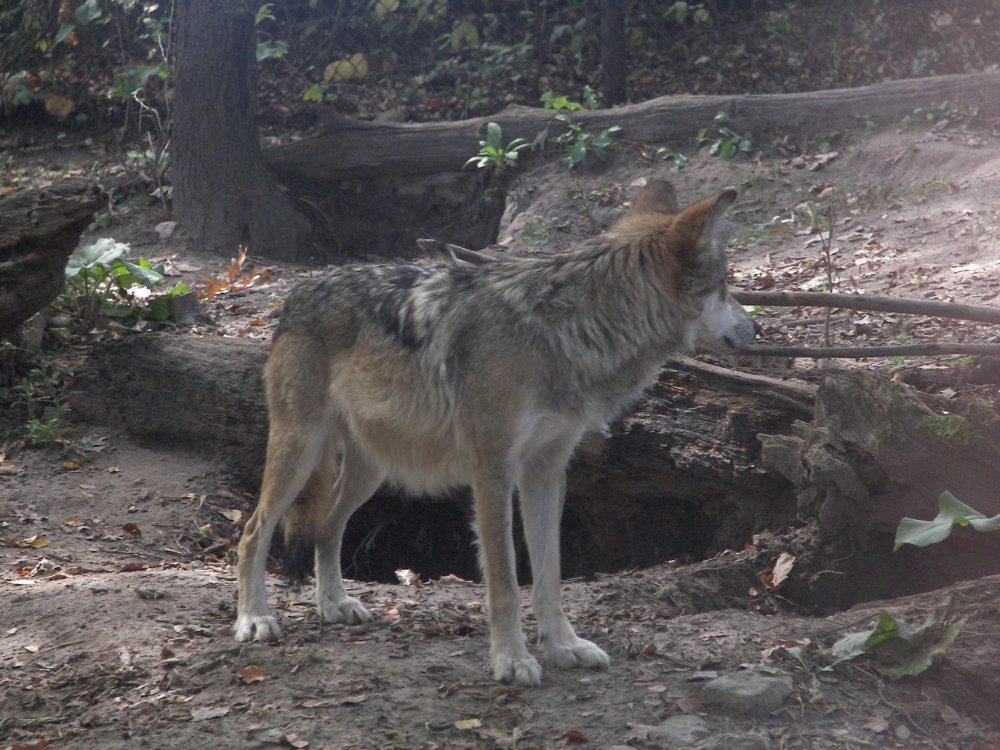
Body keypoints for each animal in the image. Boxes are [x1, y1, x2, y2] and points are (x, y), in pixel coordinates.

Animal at [236, 181, 756, 688]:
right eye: (724, 287)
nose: (754, 328)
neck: (567, 330)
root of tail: (301, 289)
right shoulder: (493, 471)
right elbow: (505, 581)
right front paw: (512, 660)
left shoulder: (546, 472)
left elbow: (549, 575)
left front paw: (563, 647)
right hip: (300, 451)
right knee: (253, 530)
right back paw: (254, 618)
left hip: (372, 471)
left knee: (328, 526)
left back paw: (333, 605)